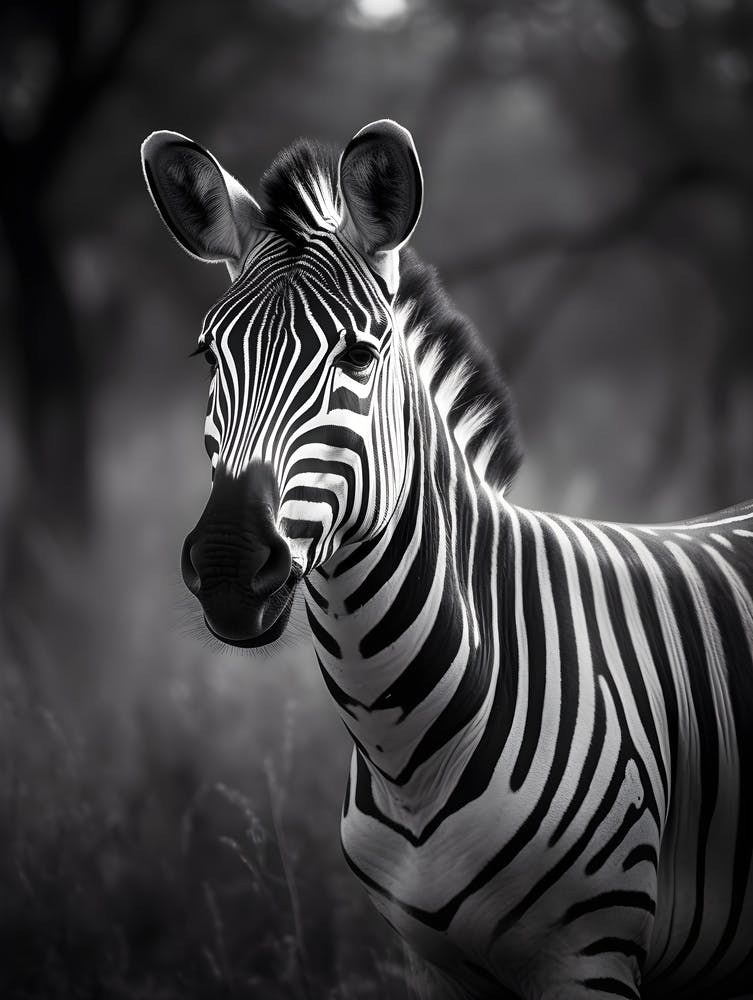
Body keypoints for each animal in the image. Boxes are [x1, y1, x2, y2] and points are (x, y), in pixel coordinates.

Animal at [141, 120, 753, 1000]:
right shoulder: (433, 965)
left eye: (359, 359)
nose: (227, 565)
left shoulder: (589, 957)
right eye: (208, 356)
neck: (407, 752)